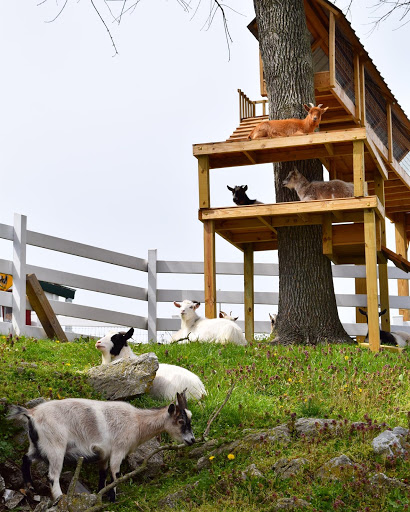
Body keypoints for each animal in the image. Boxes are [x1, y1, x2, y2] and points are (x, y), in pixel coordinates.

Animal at [8, 394, 194, 502]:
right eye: (180, 421)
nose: (192, 440)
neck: (137, 421)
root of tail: (32, 413)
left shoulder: (105, 454)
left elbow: (103, 473)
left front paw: (101, 494)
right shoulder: (118, 450)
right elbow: (115, 474)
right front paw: (113, 499)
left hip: (37, 446)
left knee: (26, 459)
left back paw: (30, 489)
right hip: (55, 447)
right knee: (52, 475)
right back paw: (60, 497)